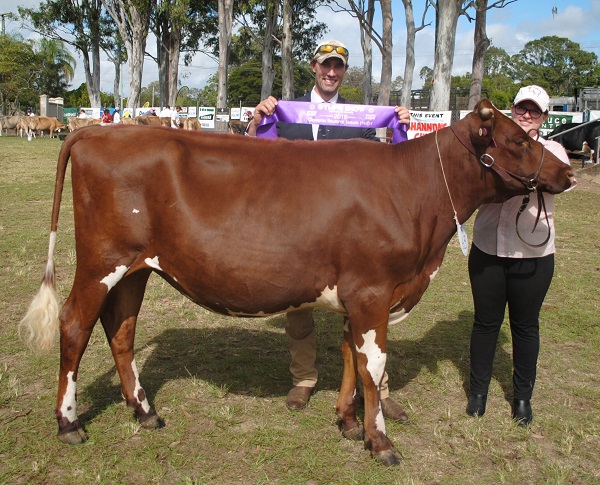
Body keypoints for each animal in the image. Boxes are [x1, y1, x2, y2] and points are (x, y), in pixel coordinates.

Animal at [17, 99, 572, 466]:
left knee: (122, 331)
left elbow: (350, 356)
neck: (417, 193)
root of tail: (97, 132)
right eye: (518, 140)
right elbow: (374, 364)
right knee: (74, 324)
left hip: (136, 269)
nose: (566, 173)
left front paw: (347, 422)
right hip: (100, 262)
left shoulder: (357, 294)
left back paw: (145, 411)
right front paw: (380, 442)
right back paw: (68, 423)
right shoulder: (373, 289)